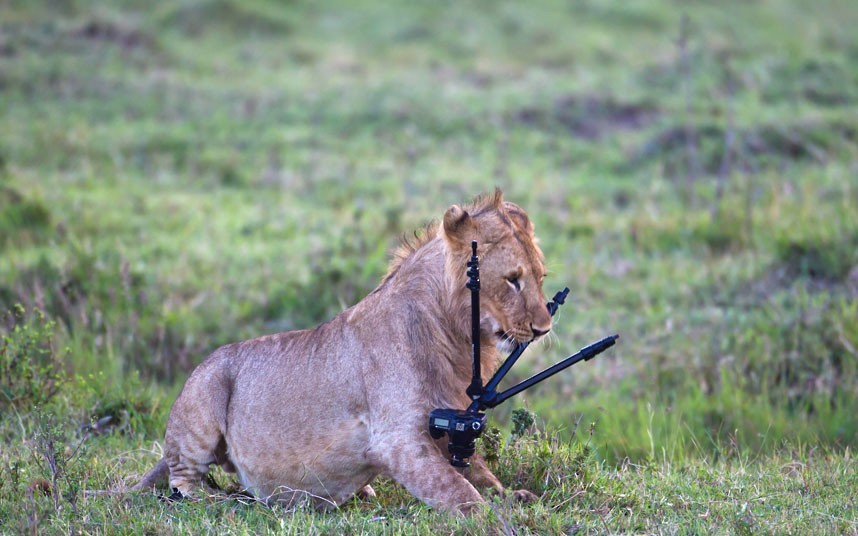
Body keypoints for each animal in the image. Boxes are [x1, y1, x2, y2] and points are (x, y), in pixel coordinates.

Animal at [132, 189, 548, 516]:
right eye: (513, 280)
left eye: (541, 277)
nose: (543, 329)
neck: (455, 332)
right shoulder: (397, 439)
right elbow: (459, 491)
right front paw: (496, 517)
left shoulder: (452, 421)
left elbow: (479, 473)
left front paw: (514, 497)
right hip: (203, 399)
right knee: (184, 484)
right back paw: (223, 500)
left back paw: (361, 491)